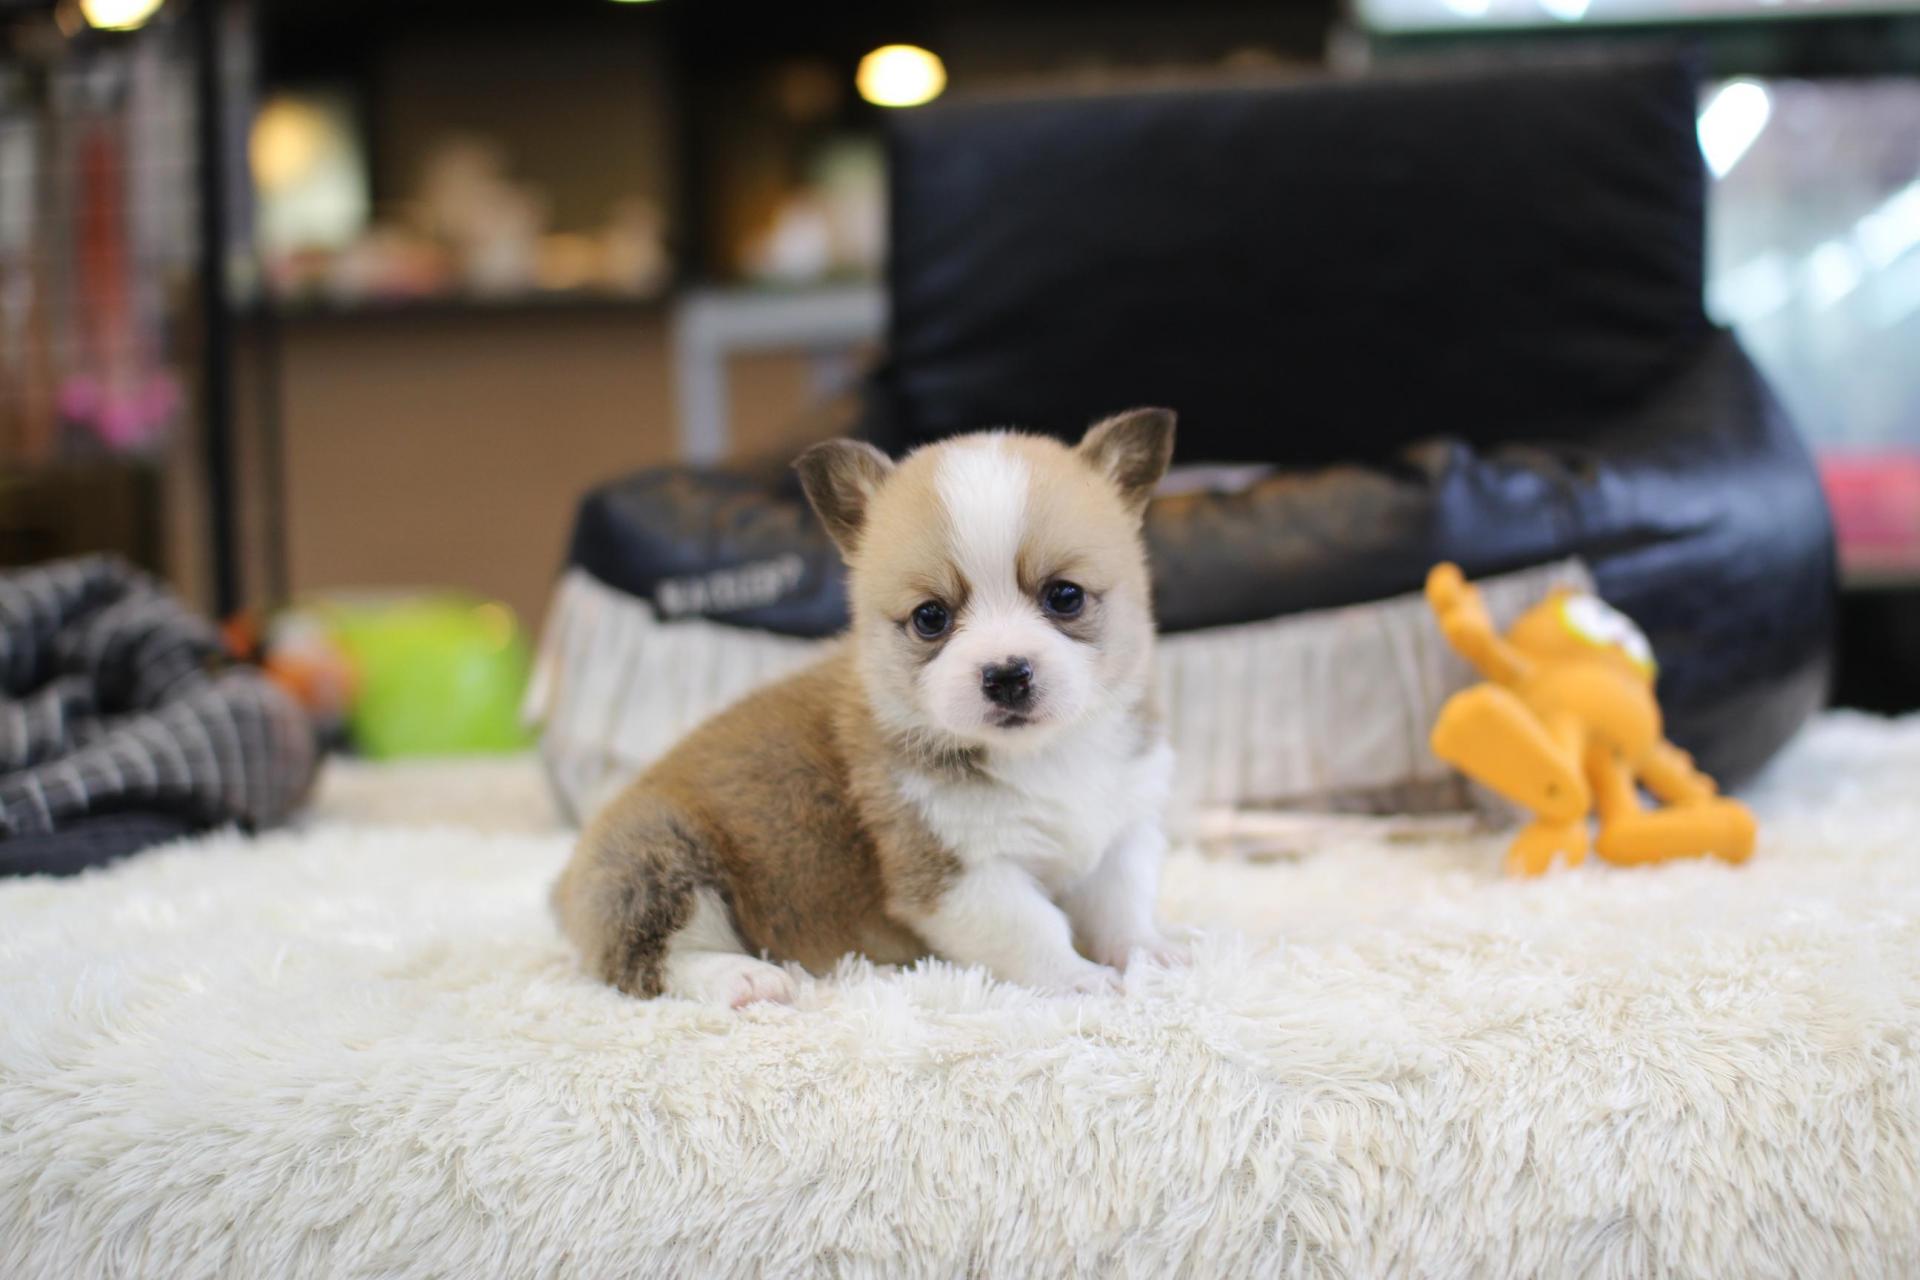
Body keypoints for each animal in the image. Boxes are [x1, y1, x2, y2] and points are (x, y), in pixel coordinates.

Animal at [552, 409, 1182, 1006]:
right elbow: (1034, 929)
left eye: (1065, 596)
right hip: (660, 861)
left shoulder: (1122, 831)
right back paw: (742, 978)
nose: (1006, 675)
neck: (1043, 754)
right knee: (652, 959)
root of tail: (565, 885)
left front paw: (1149, 954)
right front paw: (1078, 978)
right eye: (931, 618)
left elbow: (1121, 905)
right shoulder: (957, 877)